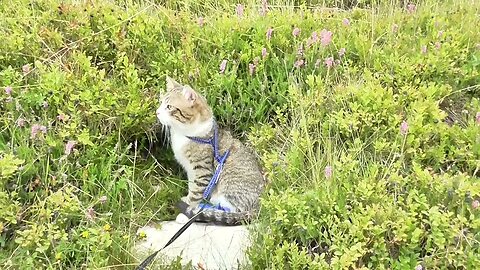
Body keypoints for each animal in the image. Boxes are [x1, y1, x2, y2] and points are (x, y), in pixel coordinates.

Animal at [157, 76, 266, 226]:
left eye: (169, 107)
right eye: (160, 102)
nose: (157, 112)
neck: (184, 133)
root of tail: (258, 207)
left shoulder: (202, 170)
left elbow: (196, 193)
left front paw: (187, 212)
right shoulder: (191, 171)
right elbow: (192, 186)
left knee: (232, 212)